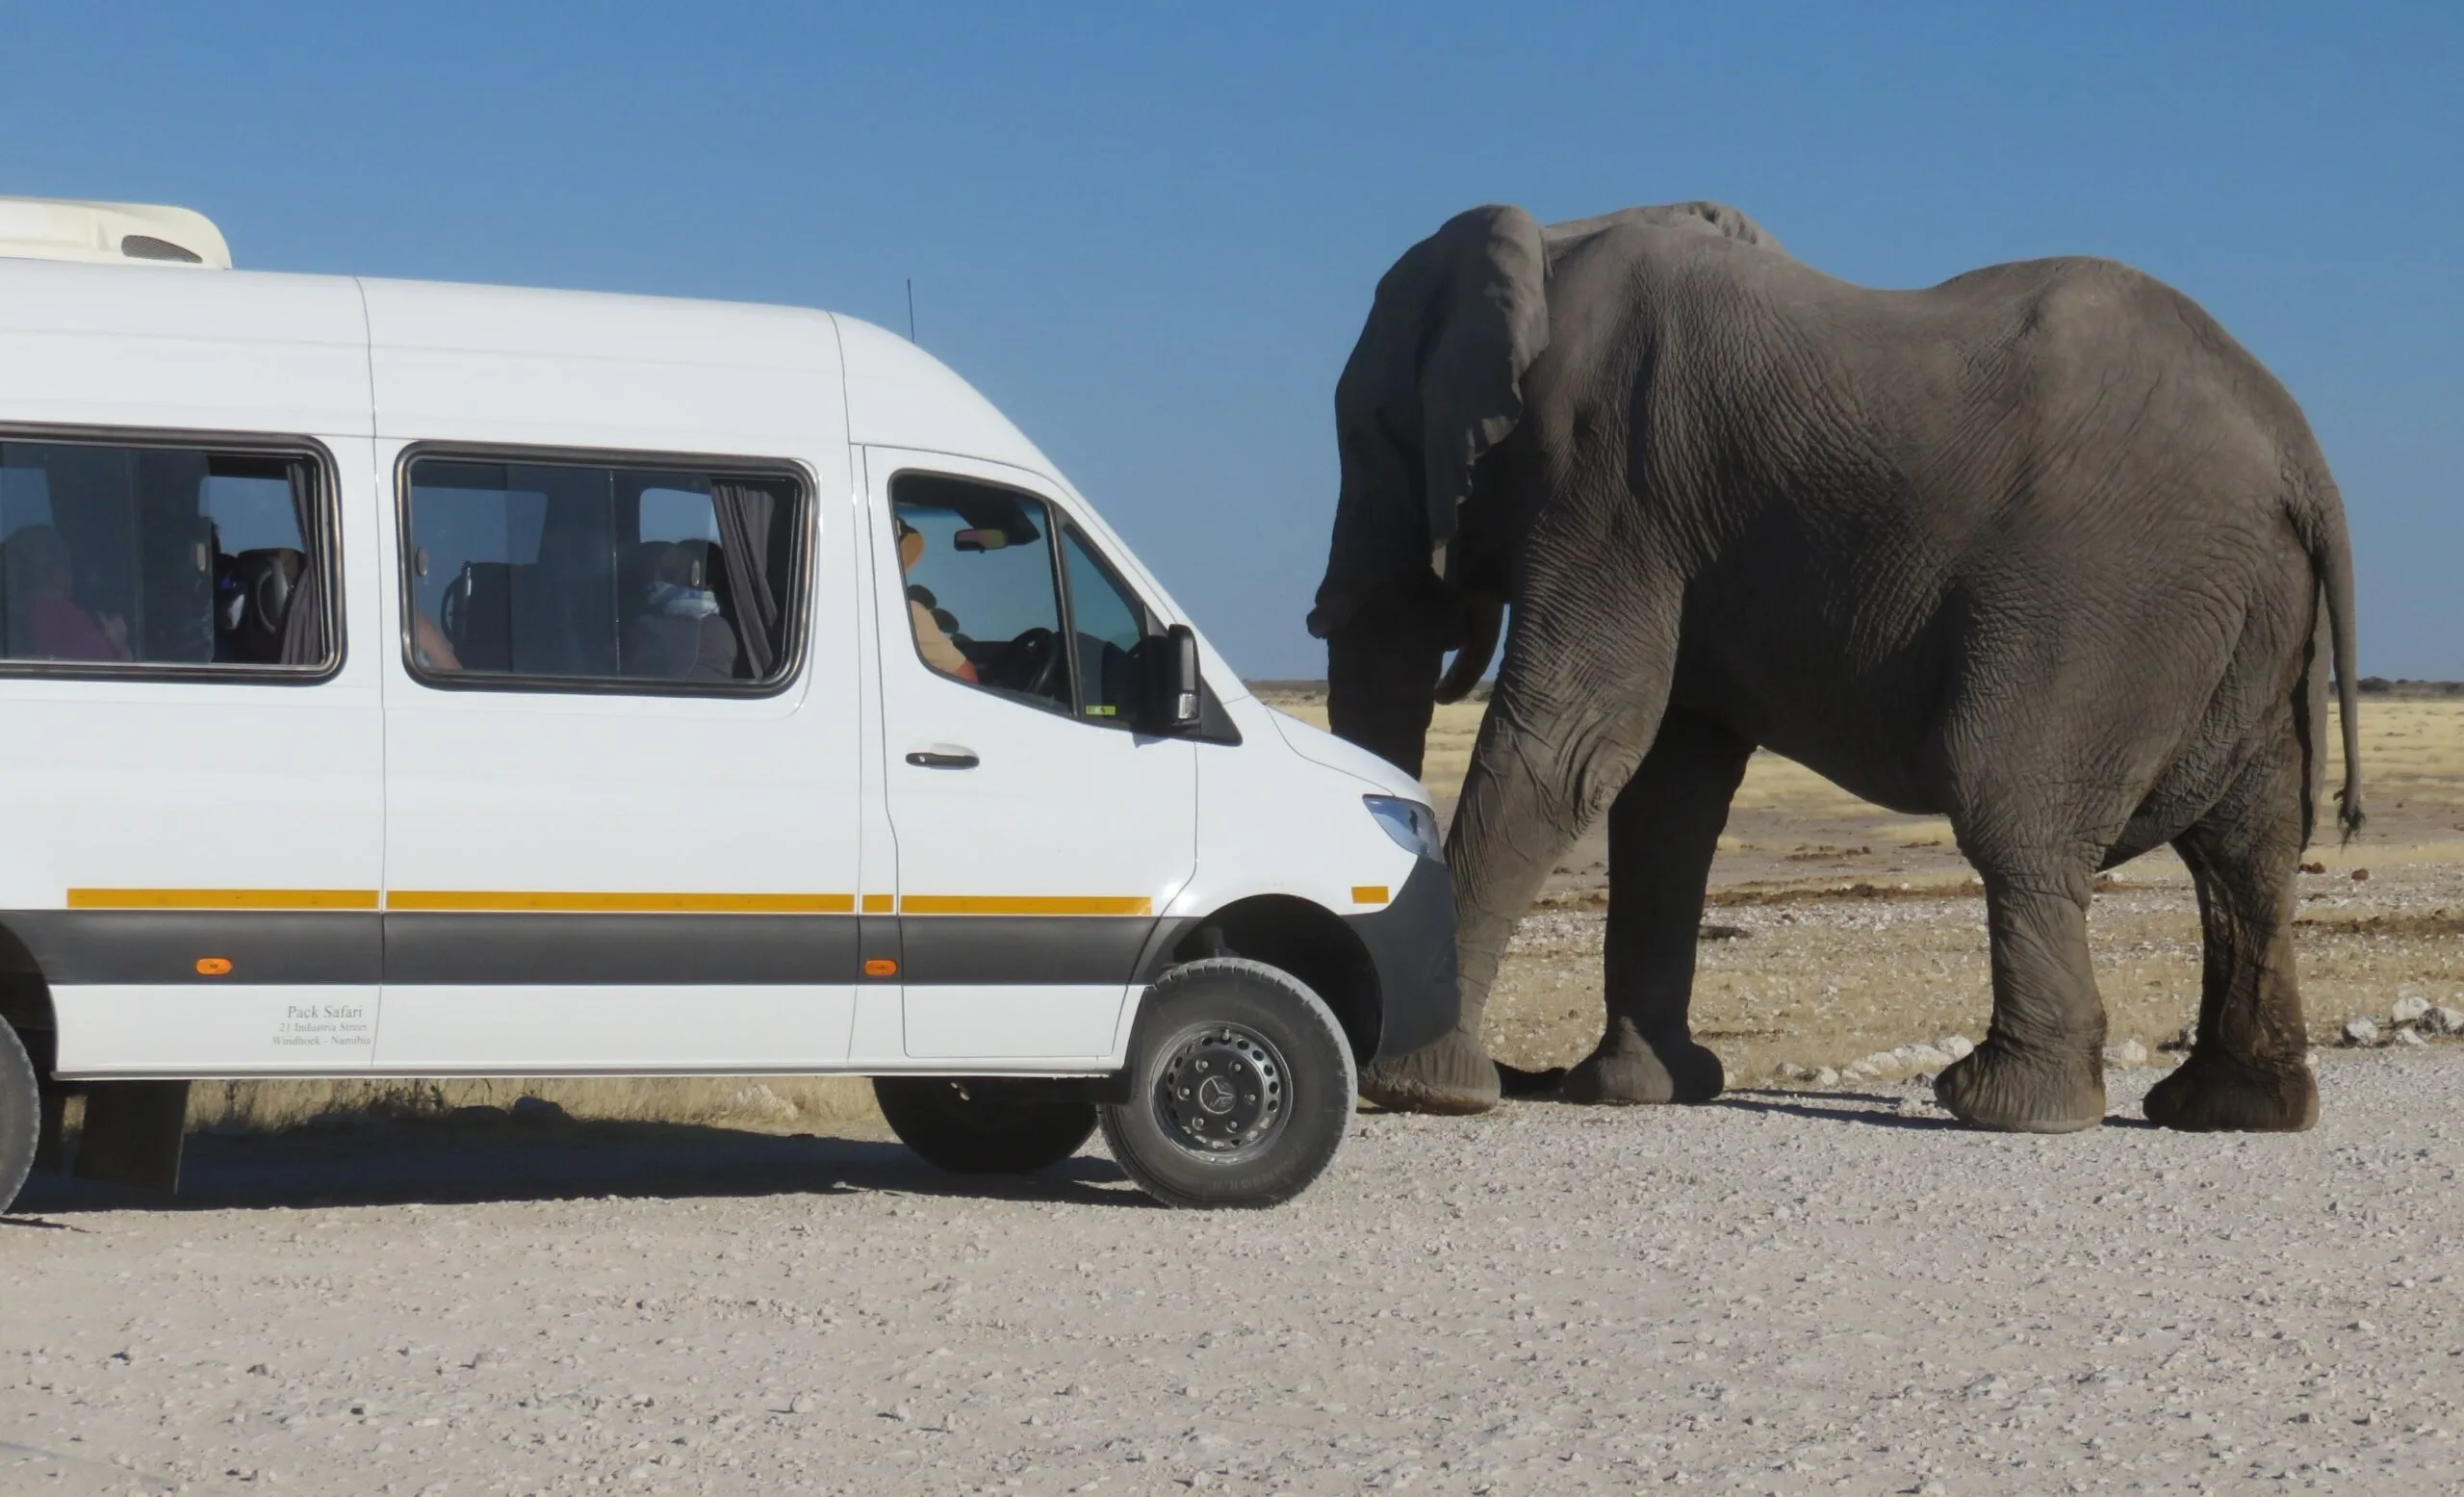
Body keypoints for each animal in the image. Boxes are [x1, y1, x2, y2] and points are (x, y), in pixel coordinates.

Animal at [1307, 200, 2362, 1134]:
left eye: (1369, 433)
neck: (1552, 246)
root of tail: (2299, 453)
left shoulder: (1610, 483)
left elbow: (1573, 744)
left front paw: (1421, 1089)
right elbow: (1669, 790)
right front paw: (1639, 1091)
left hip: (2108, 593)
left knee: (2014, 809)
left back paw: (2004, 1106)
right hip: (2253, 617)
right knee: (2247, 848)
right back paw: (2233, 1110)